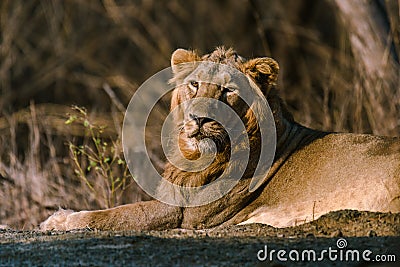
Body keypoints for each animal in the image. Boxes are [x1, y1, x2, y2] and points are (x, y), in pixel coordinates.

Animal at [40, 47, 400, 231]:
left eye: (228, 90)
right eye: (194, 84)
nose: (199, 119)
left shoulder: (183, 215)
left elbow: (113, 214)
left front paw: (57, 220)